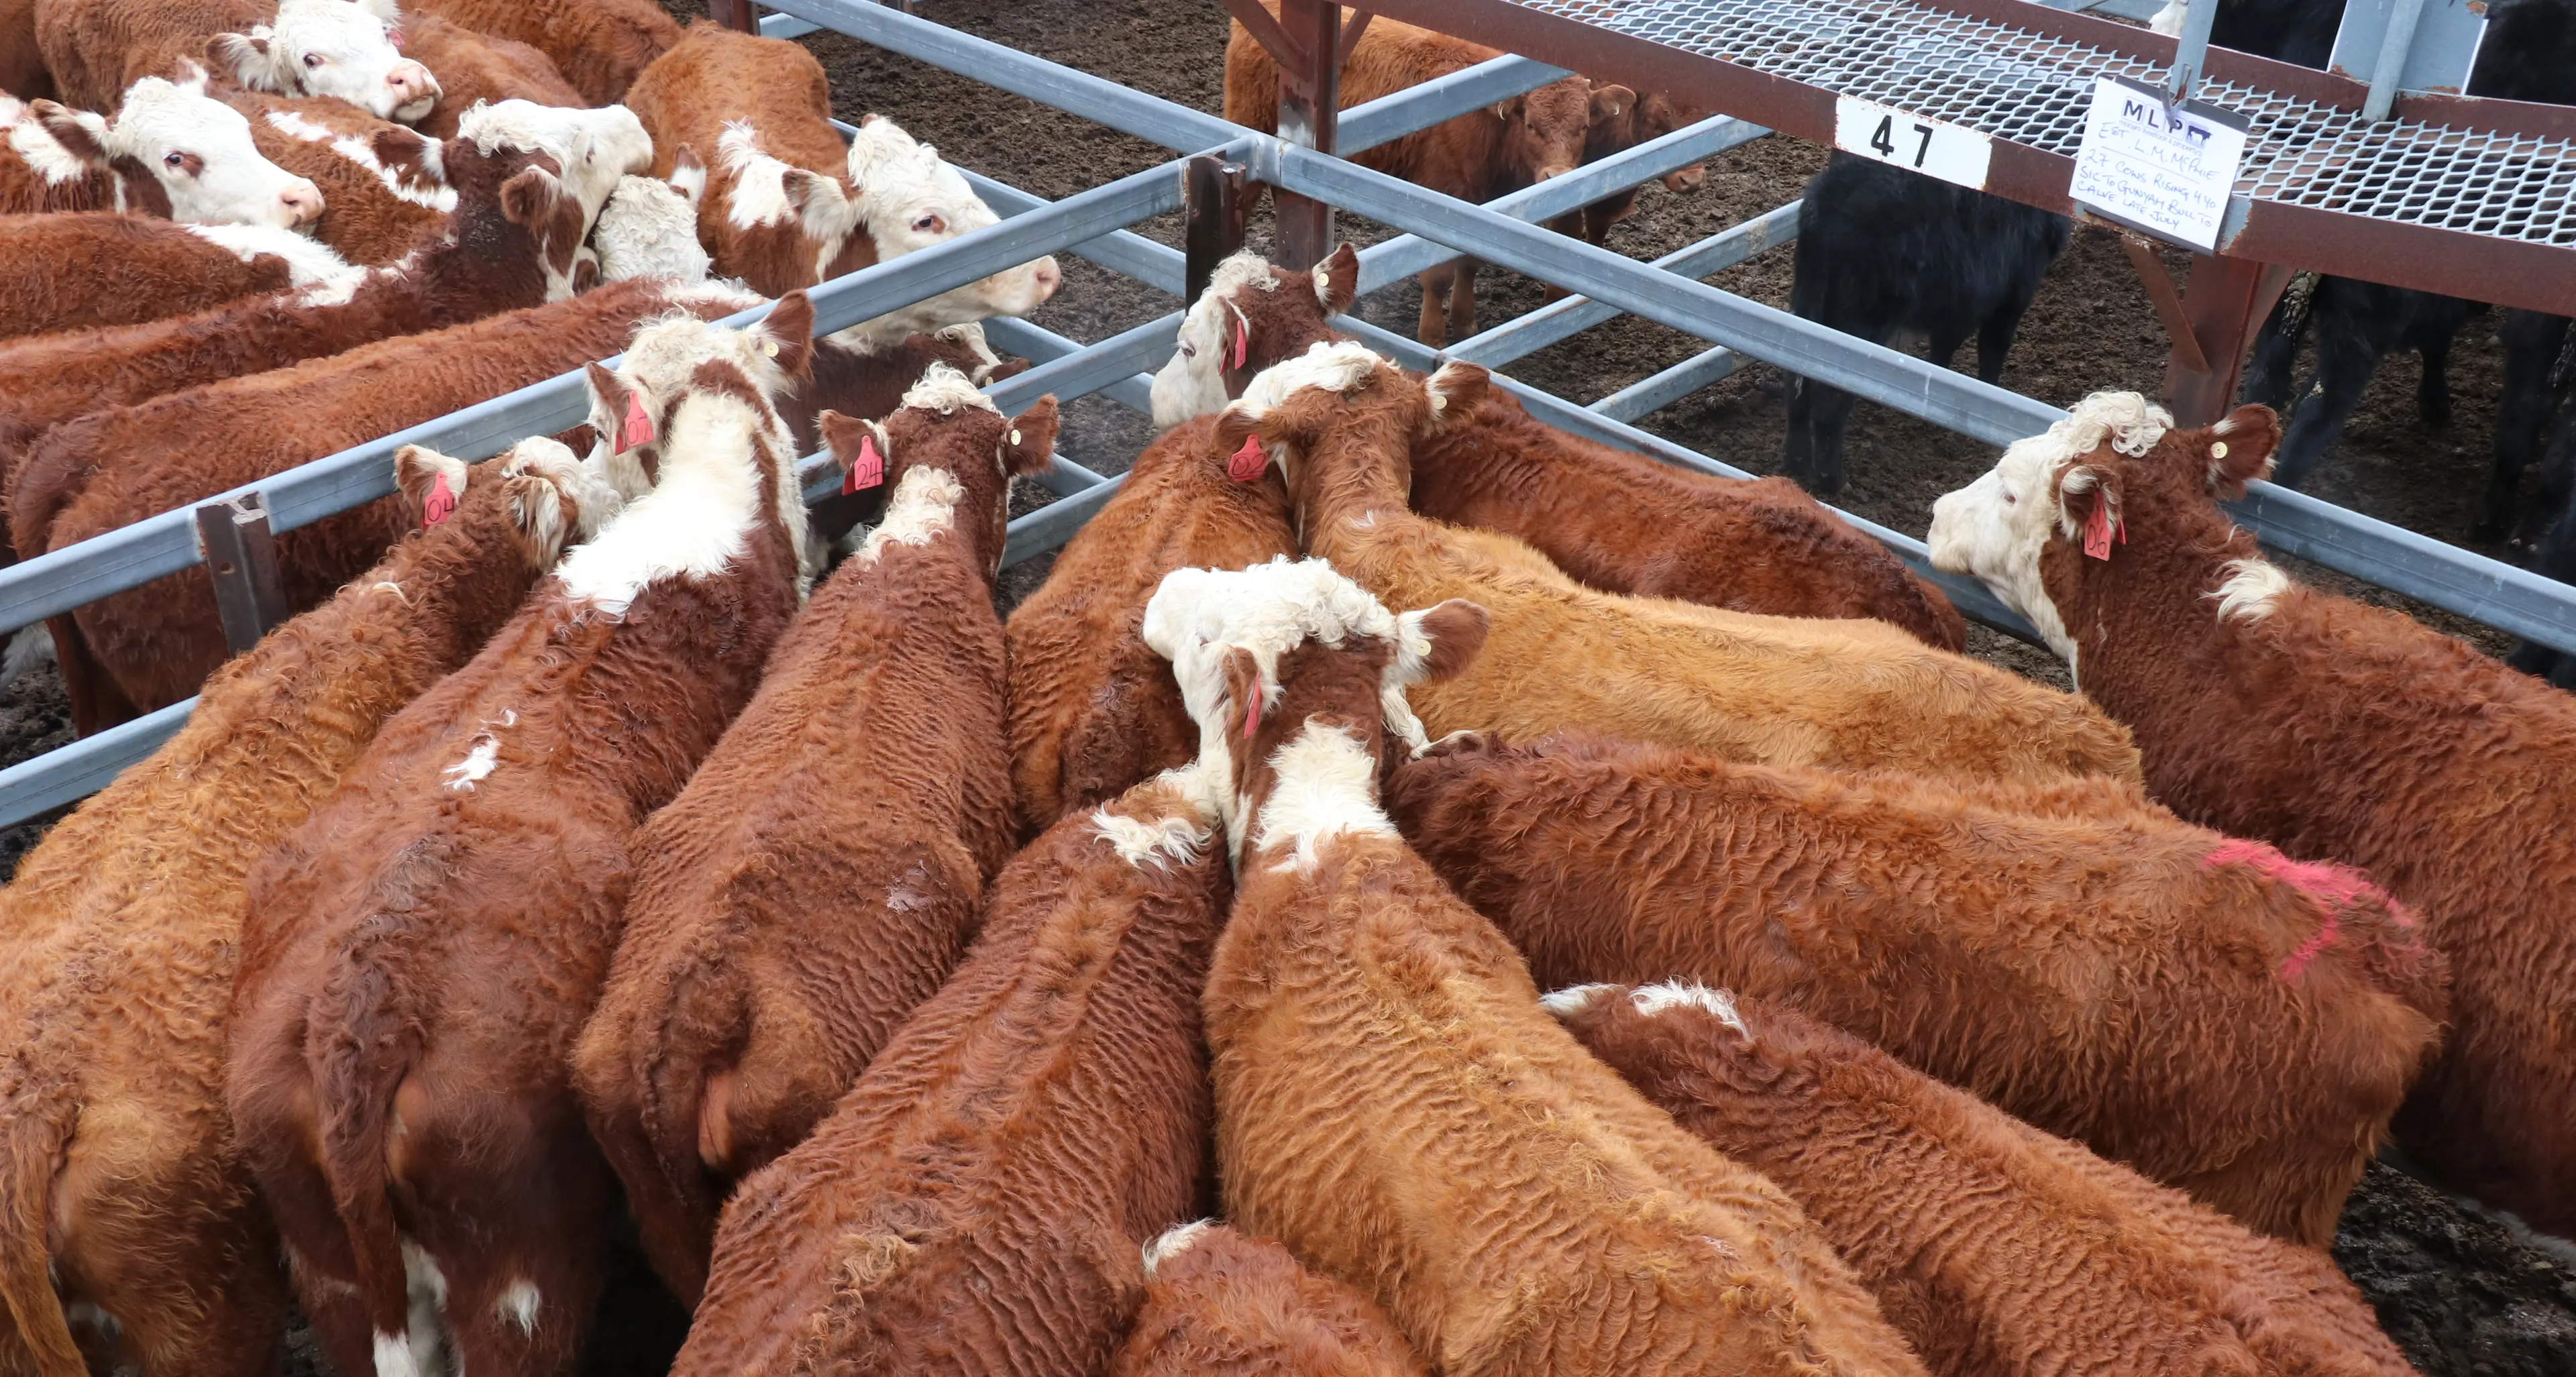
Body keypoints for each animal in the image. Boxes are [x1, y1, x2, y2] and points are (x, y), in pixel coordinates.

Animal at [1223, 4, 1626, 344]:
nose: (1557, 176)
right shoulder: (1439, 196)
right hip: (1249, 121)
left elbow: (1470, 263)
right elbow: (1437, 276)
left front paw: (1465, 322)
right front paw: (1432, 336)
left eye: (1584, 126)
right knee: (1248, 196)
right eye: (1530, 124)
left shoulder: (1483, 207)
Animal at [1782, 153, 2070, 496]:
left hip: (1807, 305)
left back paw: (1795, 468)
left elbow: (1942, 351)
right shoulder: (2014, 292)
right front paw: (1988, 393)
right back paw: (1835, 483)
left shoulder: (1957, 302)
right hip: (1860, 323)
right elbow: (1993, 347)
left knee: (1797, 388)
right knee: (1828, 405)